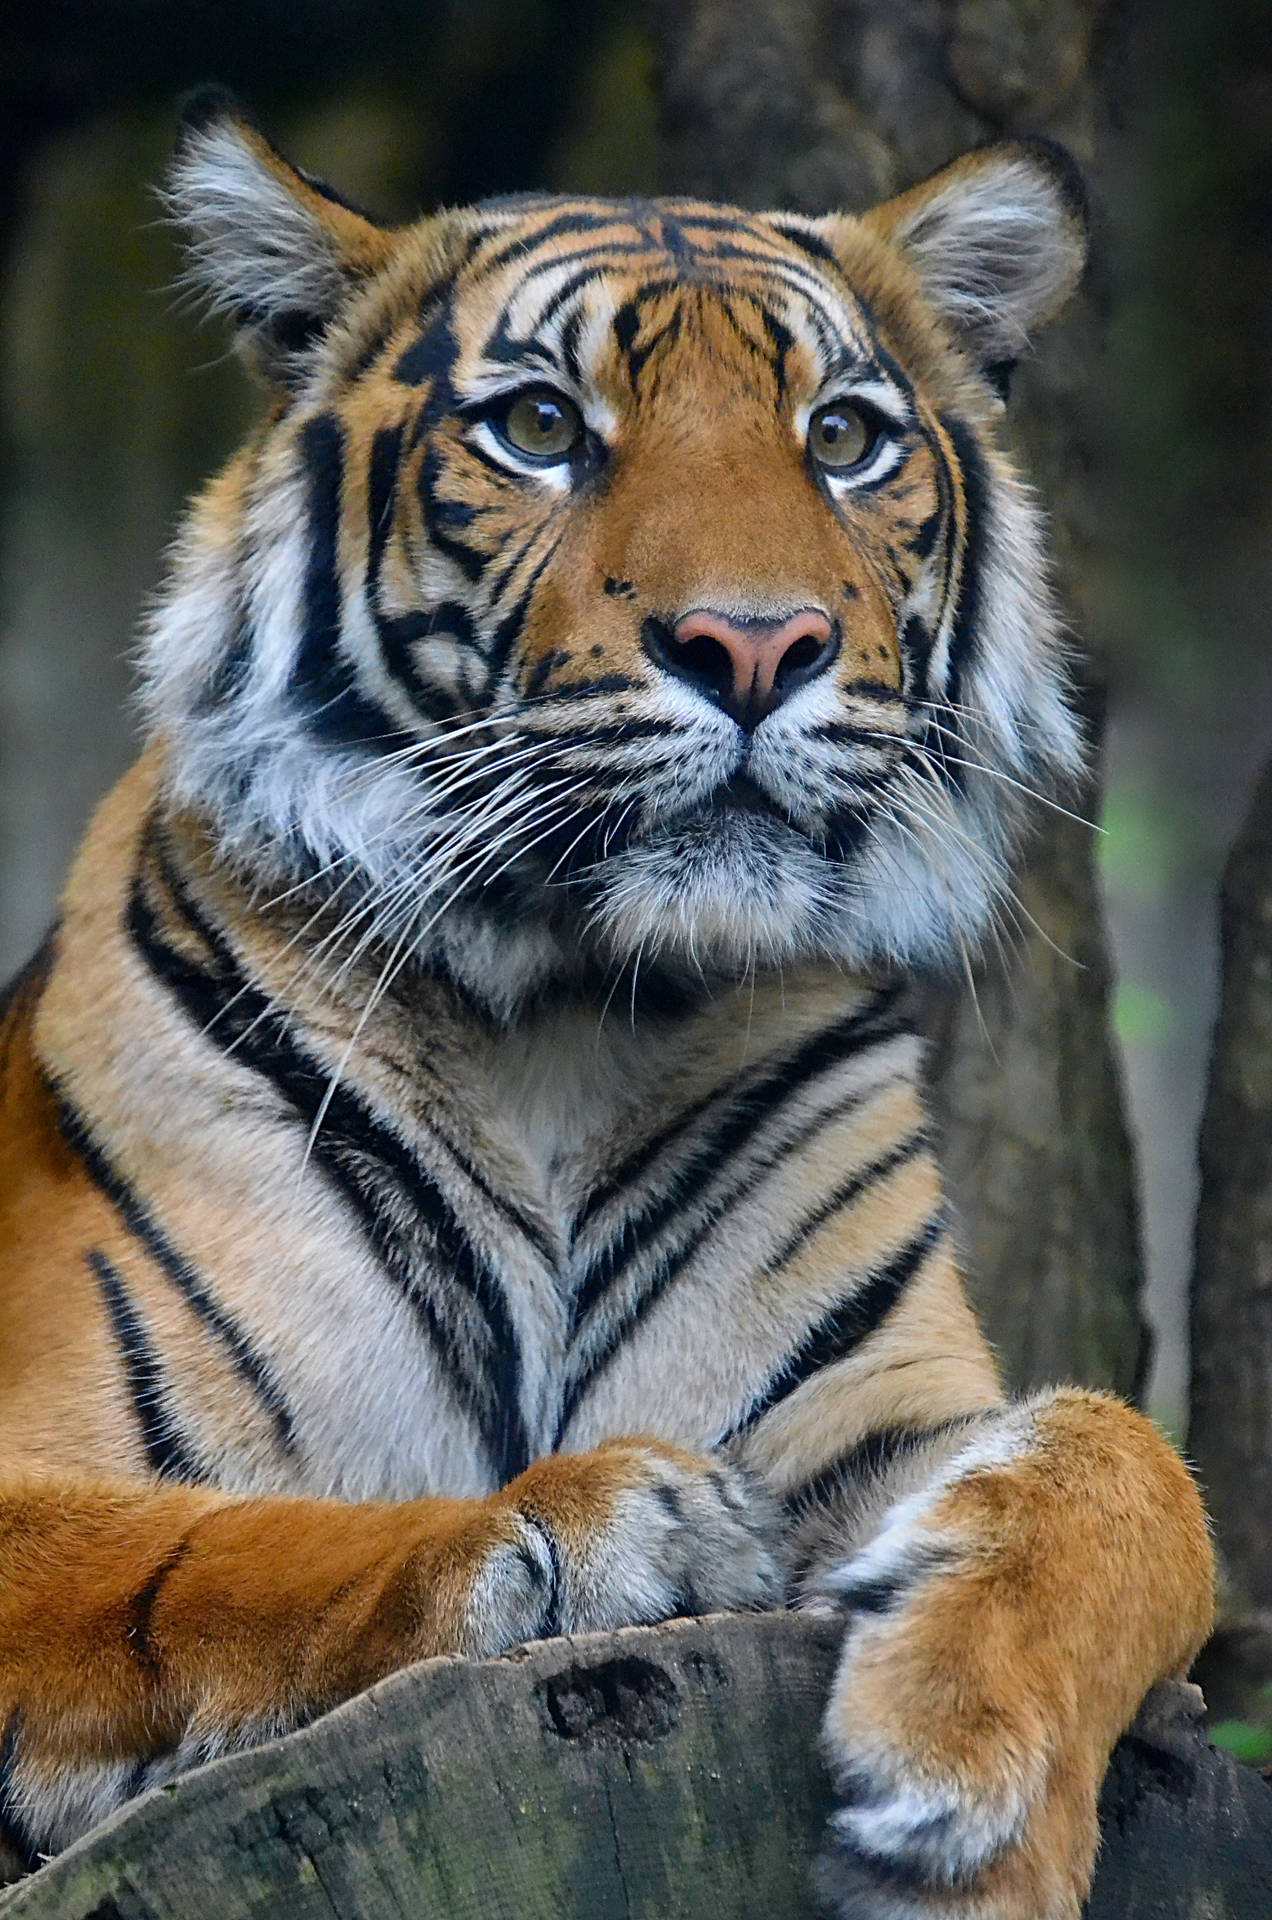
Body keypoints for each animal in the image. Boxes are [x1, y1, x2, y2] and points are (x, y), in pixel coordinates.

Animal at [0, 87, 1211, 1919]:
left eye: (843, 437)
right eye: (540, 427)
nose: (756, 643)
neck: (567, 1018)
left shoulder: (881, 1415)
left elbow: (1133, 1474)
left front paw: (973, 1787)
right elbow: (208, 1544)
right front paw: (596, 1530)